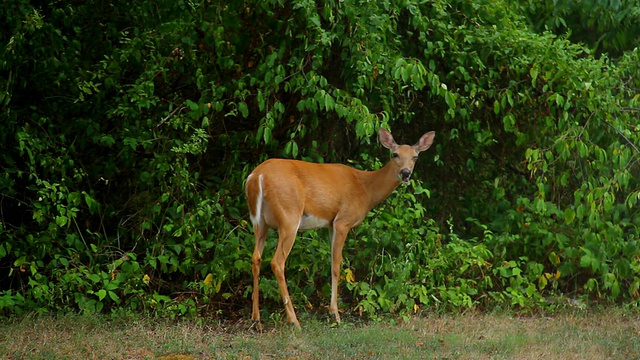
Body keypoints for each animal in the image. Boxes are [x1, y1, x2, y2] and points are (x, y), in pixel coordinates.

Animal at [245, 127, 436, 330]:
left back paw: (256, 320)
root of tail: (256, 177)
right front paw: (335, 314)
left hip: (259, 222)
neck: (366, 189)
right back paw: (294, 320)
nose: (406, 173)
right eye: (395, 154)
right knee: (277, 262)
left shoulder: (330, 224)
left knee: (256, 258)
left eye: (415, 156)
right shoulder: (343, 221)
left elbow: (331, 262)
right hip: (289, 216)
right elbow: (337, 265)